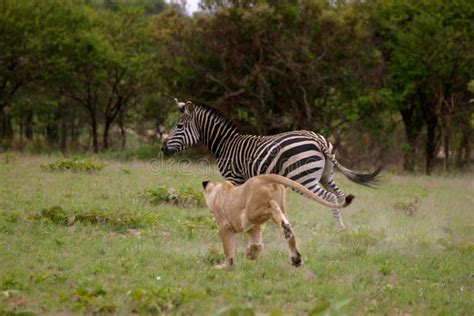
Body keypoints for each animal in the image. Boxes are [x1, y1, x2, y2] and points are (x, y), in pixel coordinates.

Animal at [161, 100, 380, 228]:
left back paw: (338, 227)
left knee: (329, 196)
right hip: (327, 174)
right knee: (339, 194)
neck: (226, 144)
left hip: (304, 178)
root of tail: (318, 140)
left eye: (179, 126)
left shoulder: (234, 177)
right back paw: (342, 225)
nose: (163, 148)